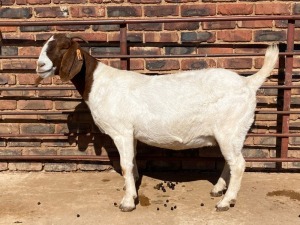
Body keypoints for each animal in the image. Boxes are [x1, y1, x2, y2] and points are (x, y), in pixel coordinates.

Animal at [35, 33, 278, 211]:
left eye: (62, 47)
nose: (39, 65)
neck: (98, 83)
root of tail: (249, 83)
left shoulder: (121, 131)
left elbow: (125, 164)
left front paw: (127, 203)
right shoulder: (131, 133)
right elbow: (132, 162)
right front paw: (133, 188)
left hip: (230, 129)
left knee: (238, 164)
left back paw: (225, 202)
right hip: (232, 133)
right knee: (232, 161)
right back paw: (218, 189)